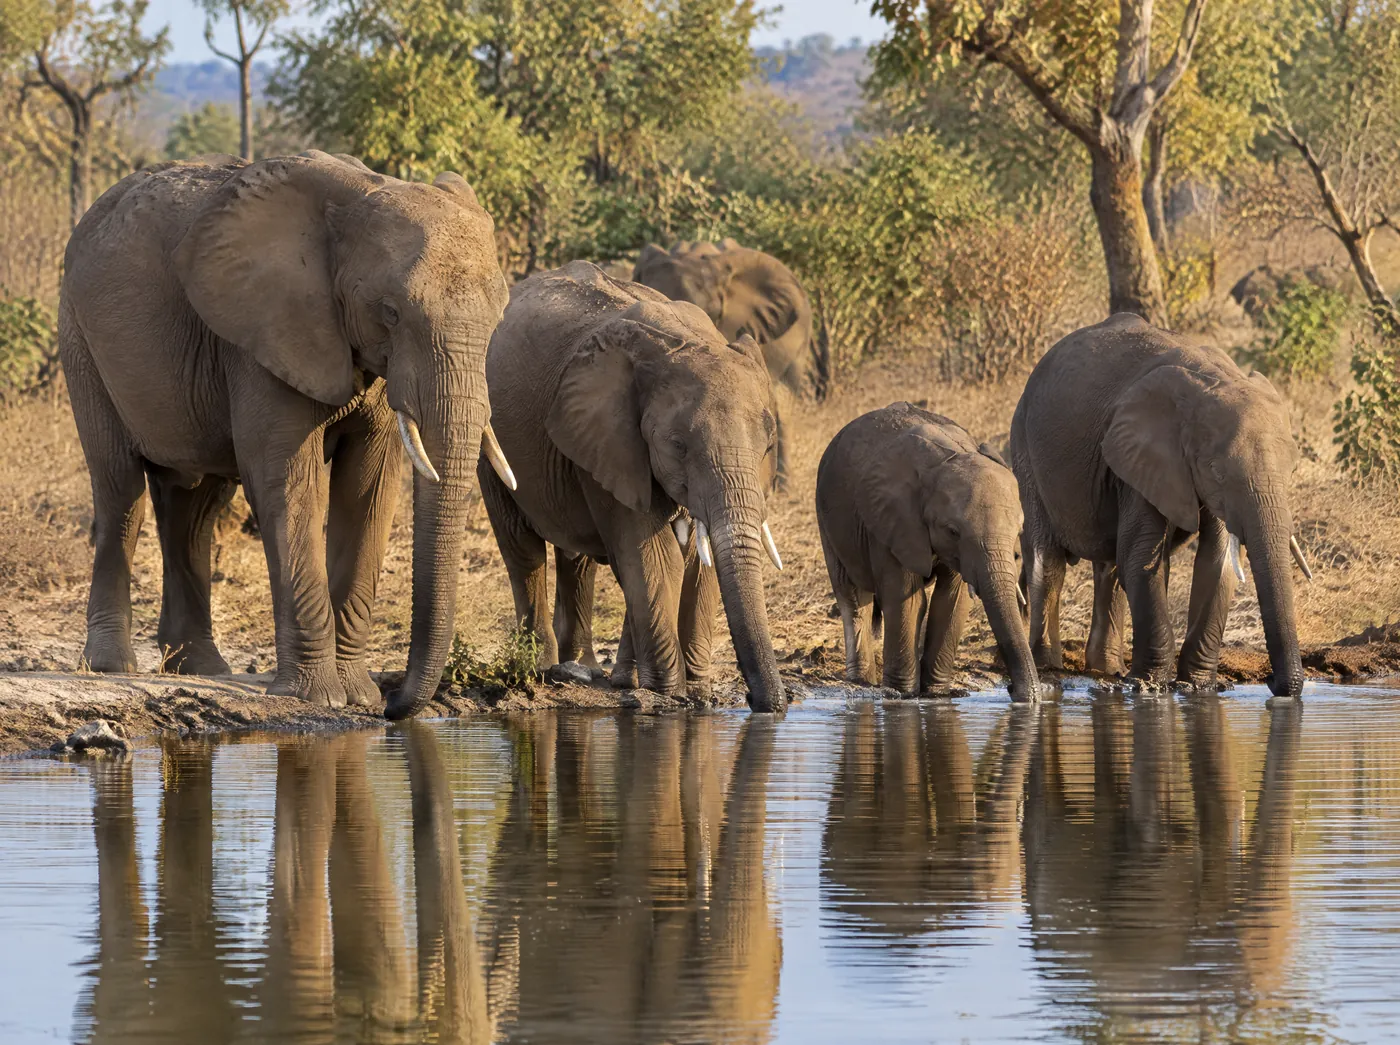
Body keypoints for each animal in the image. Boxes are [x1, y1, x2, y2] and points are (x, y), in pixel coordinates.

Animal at [58, 150, 514, 718]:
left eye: (499, 318)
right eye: (390, 312)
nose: (393, 706)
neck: (357, 196)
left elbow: (369, 488)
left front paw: (357, 695)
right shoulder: (263, 334)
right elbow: (291, 484)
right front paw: (322, 699)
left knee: (194, 505)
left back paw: (200, 668)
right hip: (80, 338)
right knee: (121, 489)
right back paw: (111, 667)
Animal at [478, 261, 787, 712]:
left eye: (767, 446)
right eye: (677, 445)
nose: (765, 704)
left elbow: (694, 555)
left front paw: (694, 693)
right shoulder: (613, 437)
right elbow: (656, 555)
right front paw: (668, 693)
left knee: (581, 559)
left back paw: (589, 669)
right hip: (489, 432)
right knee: (522, 544)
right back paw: (541, 667)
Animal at [815, 402, 1039, 700]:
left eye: (1018, 531)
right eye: (953, 531)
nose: (1012, 689)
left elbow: (952, 601)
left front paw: (935, 694)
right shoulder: (892, 520)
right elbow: (907, 601)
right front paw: (902, 694)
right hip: (826, 518)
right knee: (851, 596)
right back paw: (862, 682)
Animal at [1010, 313, 1312, 697]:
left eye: (1292, 469)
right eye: (1216, 470)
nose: (1274, 682)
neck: (1212, 379)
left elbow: (1215, 562)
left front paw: (1197, 687)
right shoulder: (1141, 455)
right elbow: (1142, 556)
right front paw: (1149, 687)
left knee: (1110, 566)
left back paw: (1108, 669)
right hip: (1024, 446)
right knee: (1049, 559)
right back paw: (1050, 666)